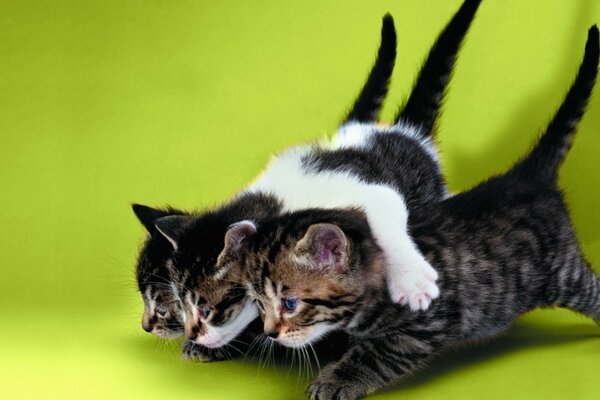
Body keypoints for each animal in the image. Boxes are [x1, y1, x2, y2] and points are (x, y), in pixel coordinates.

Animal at [163, 0, 482, 356]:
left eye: (207, 309)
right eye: (181, 306)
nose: (192, 334)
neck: (276, 201)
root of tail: (405, 132)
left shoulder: (361, 190)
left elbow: (384, 213)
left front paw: (411, 280)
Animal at [240, 25, 600, 400]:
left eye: (290, 303)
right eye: (259, 304)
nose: (269, 332)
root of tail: (527, 176)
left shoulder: (421, 327)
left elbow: (374, 356)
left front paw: (334, 381)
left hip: (566, 273)